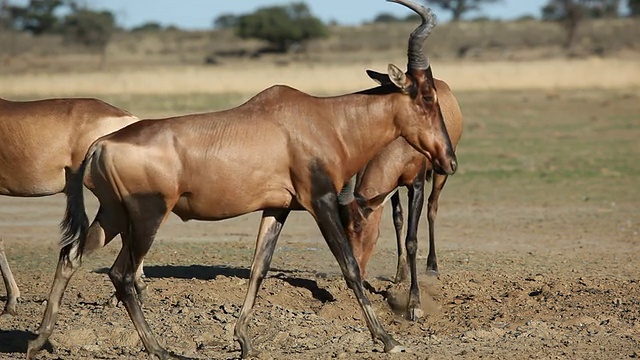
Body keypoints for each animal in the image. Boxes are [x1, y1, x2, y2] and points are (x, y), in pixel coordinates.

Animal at [338, 76, 462, 320]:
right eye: (344, 228)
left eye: (361, 227)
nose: (354, 276)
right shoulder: (392, 186)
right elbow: (398, 219)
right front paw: (399, 274)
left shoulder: (416, 185)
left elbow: (411, 240)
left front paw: (414, 304)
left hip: (442, 172)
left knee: (432, 208)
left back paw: (432, 266)